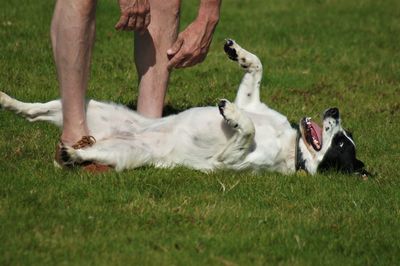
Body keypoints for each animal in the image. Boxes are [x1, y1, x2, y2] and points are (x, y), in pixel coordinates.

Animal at [0, 39, 368, 177]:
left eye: (340, 143)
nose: (335, 110)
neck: (291, 145)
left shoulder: (228, 161)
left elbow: (245, 128)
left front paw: (232, 115)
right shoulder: (252, 101)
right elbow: (257, 68)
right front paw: (237, 52)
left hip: (122, 153)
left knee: (81, 151)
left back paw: (72, 154)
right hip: (93, 108)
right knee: (34, 110)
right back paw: (7, 100)